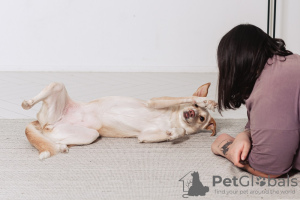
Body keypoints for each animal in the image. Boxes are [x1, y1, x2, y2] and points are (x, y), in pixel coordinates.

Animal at [22, 81, 217, 159]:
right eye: (195, 107)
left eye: (201, 118)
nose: (191, 113)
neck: (173, 118)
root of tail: (44, 123)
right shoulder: (154, 101)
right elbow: (183, 98)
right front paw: (205, 100)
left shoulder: (144, 136)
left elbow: (180, 131)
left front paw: (173, 134)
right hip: (57, 87)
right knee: (47, 91)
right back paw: (27, 102)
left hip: (89, 135)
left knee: (54, 139)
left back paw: (61, 146)